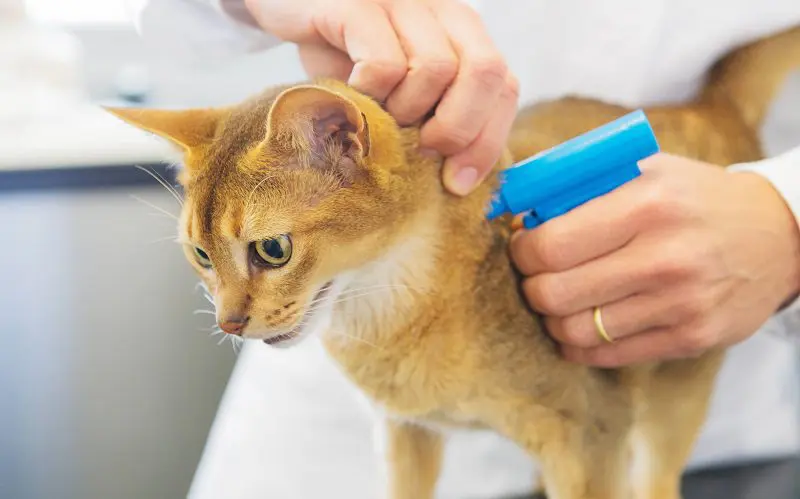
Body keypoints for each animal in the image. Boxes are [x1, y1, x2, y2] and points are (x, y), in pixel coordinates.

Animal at [108, 25, 800, 499]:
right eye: (200, 254)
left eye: (271, 250)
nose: (228, 322)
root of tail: (709, 107)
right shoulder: (405, 434)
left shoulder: (592, 436)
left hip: (673, 396)